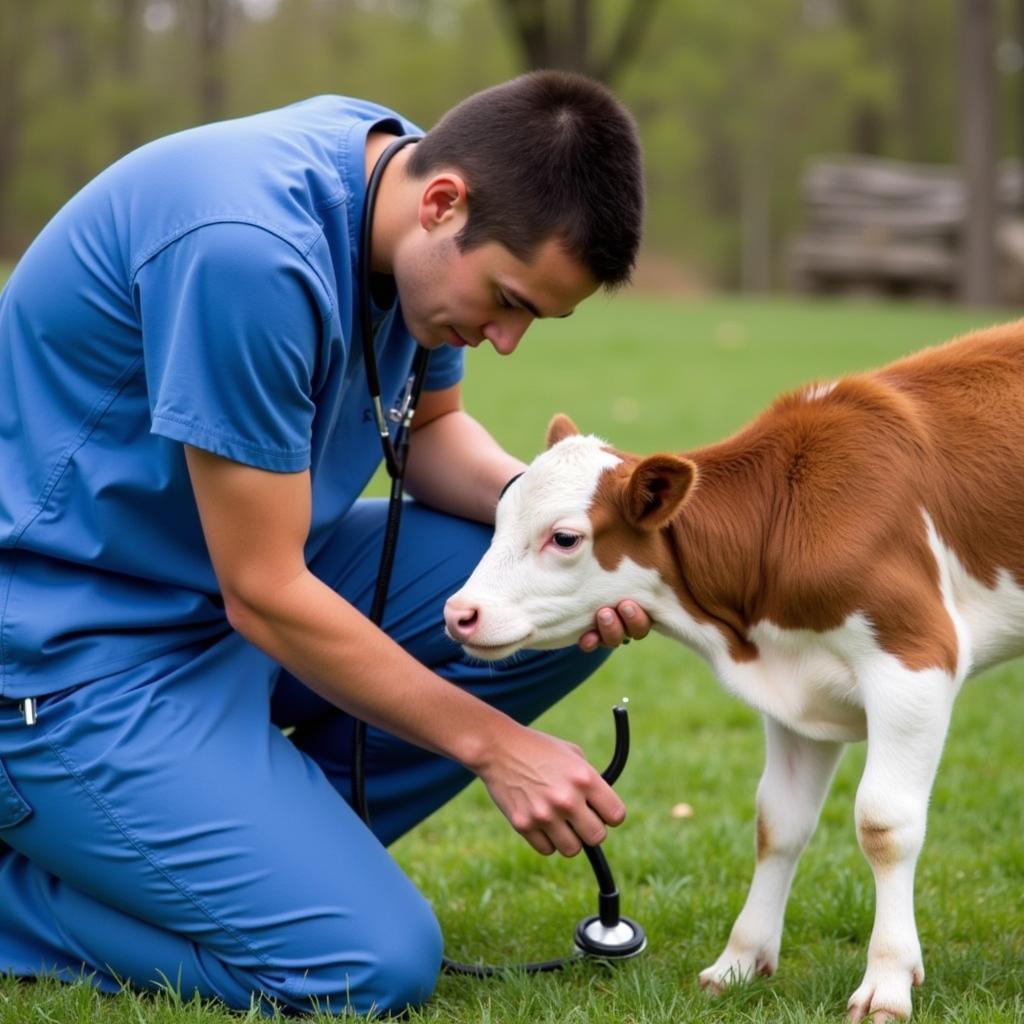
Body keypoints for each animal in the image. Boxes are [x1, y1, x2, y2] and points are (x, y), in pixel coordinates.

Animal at [442, 321, 1024, 1024]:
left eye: (565, 538)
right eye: (500, 519)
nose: (459, 613)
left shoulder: (914, 656)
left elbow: (884, 824)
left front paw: (886, 982)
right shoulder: (796, 688)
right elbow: (778, 824)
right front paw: (740, 962)